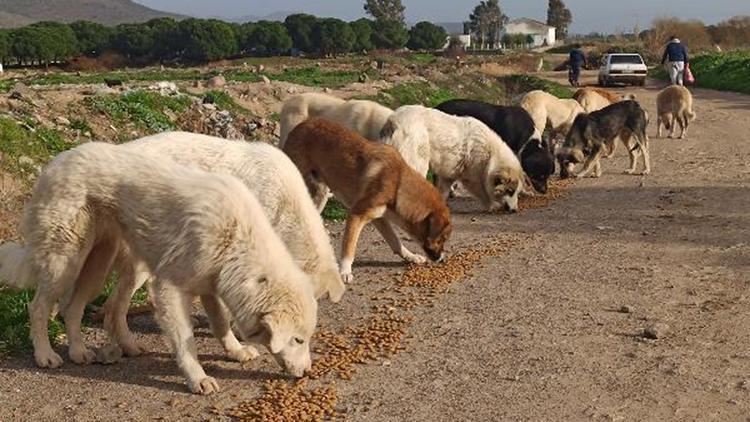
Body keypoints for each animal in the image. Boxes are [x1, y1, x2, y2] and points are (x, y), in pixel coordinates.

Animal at [0, 143, 318, 394]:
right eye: (298, 339)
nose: (307, 373)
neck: (238, 241)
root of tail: (55, 161)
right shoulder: (169, 288)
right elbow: (185, 341)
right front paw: (198, 378)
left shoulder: (210, 285)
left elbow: (220, 324)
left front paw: (236, 351)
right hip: (65, 263)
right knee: (39, 307)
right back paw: (45, 354)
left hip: (97, 267)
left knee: (73, 309)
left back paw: (79, 351)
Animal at [284, 118, 456, 284]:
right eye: (442, 238)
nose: (442, 259)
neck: (397, 185)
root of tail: (299, 126)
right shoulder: (356, 215)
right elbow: (349, 247)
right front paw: (345, 271)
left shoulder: (379, 218)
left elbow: (396, 242)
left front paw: (411, 257)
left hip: (320, 194)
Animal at [378, 104, 524, 213]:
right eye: (510, 191)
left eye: (516, 192)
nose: (514, 210)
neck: (491, 154)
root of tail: (394, 120)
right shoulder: (473, 175)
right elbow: (482, 190)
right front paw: (492, 205)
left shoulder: (448, 174)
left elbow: (443, 190)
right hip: (417, 159)